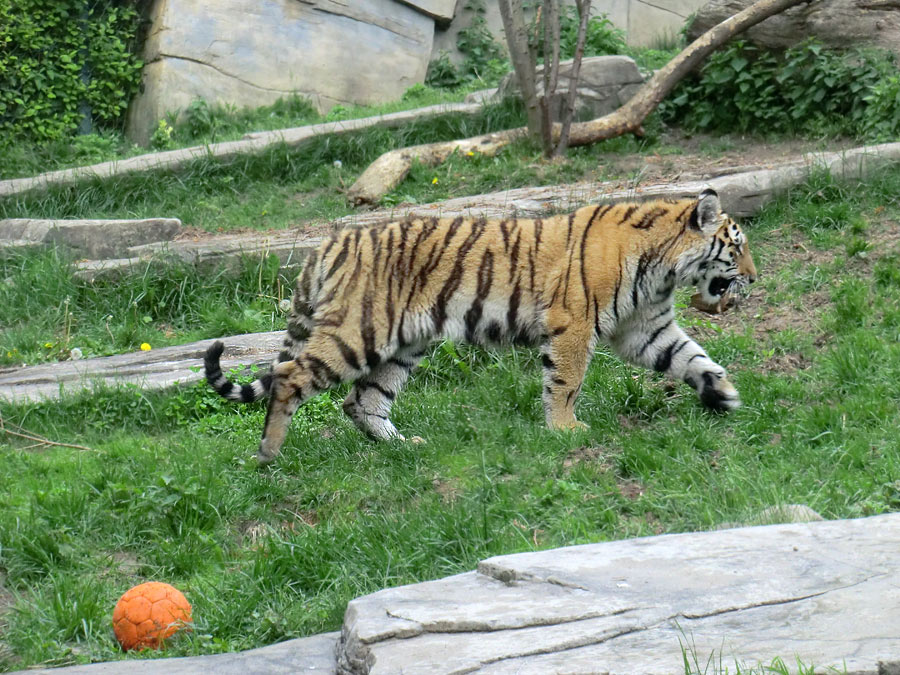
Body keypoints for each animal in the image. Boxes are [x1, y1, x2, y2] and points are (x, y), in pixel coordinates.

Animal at [206, 187, 760, 468]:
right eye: (736, 247)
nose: (755, 278)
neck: (662, 268)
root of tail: (328, 243)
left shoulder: (645, 328)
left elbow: (692, 357)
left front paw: (724, 395)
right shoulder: (574, 323)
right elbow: (567, 381)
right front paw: (565, 430)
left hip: (404, 344)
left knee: (361, 400)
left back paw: (402, 447)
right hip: (357, 333)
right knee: (289, 377)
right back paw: (268, 455)